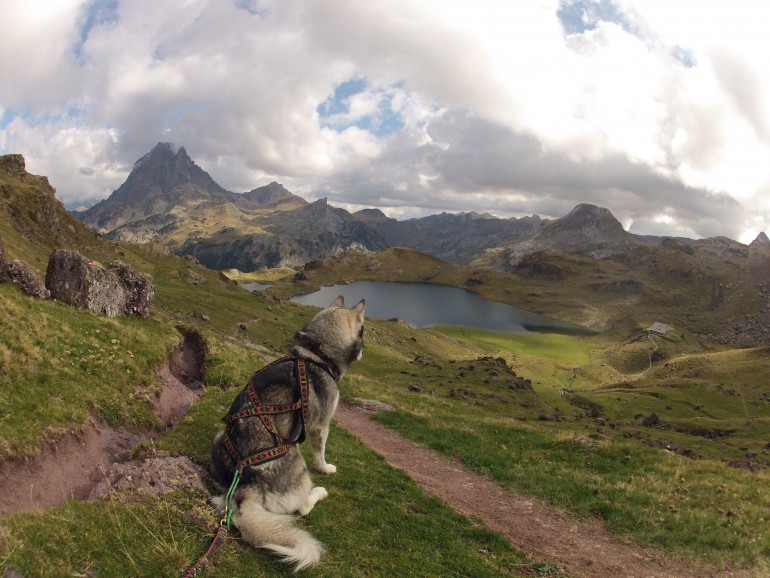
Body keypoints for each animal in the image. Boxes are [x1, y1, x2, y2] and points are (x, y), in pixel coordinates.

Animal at [210, 294, 366, 568]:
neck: (316, 355)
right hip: (298, 462)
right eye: (364, 330)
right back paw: (319, 492)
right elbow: (320, 452)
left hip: (219, 439)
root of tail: (246, 485)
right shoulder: (320, 425)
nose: (365, 350)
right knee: (302, 506)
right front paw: (326, 467)